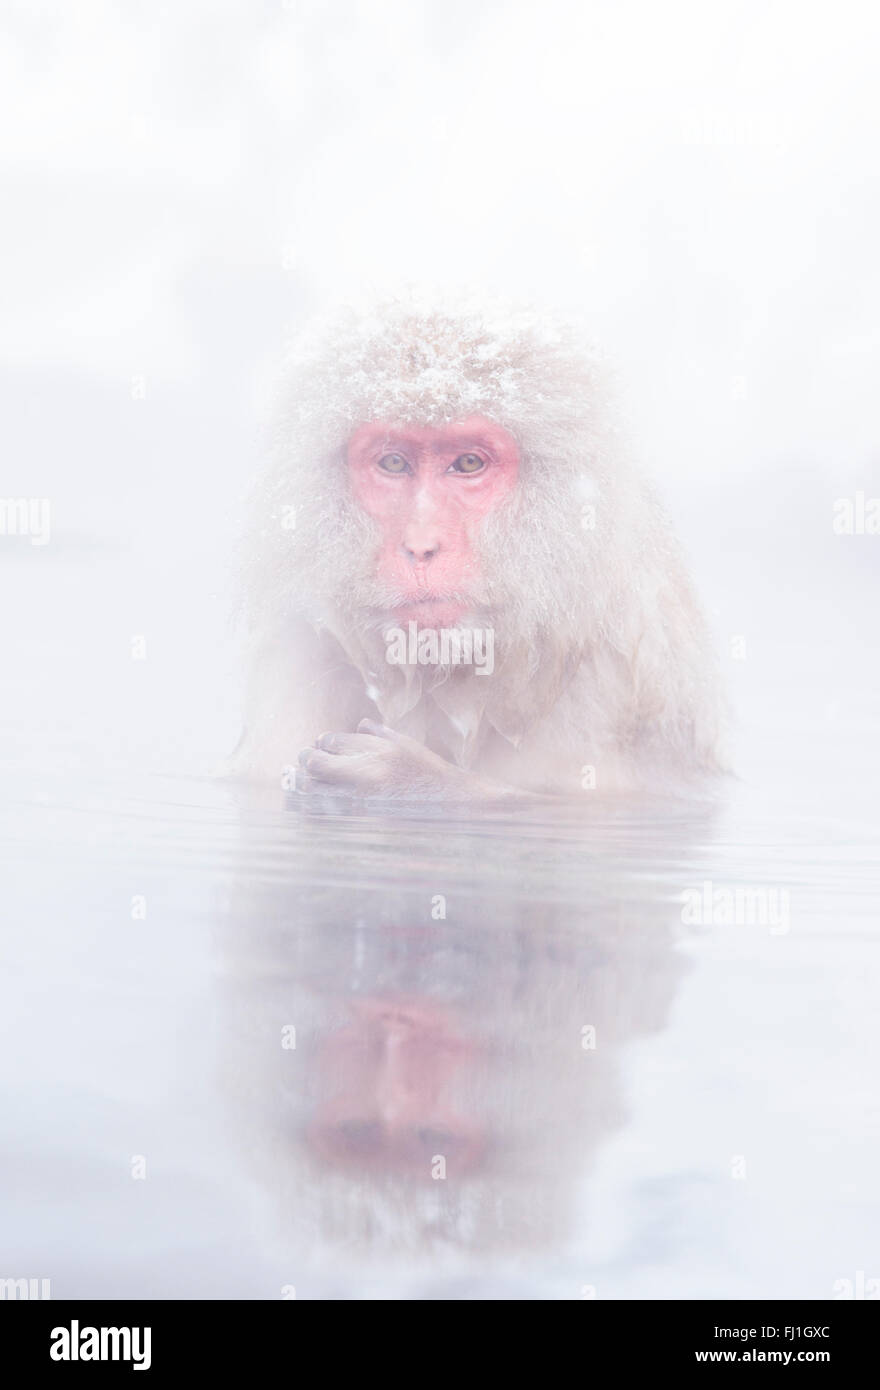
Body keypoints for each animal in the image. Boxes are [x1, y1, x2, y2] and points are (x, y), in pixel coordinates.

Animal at [233, 290, 722, 806]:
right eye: (394, 462)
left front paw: (411, 779)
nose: (421, 546)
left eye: (468, 463)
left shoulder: (611, 679)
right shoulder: (299, 651)